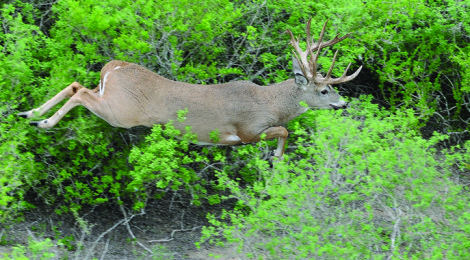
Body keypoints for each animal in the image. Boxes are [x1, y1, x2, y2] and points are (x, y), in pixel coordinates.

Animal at [17, 18, 364, 160]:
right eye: (324, 91)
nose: (343, 105)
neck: (270, 102)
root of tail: (113, 67)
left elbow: (284, 131)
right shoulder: (247, 130)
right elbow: (284, 131)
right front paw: (277, 160)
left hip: (110, 97)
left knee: (76, 84)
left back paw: (29, 112)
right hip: (122, 112)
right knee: (81, 93)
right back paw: (43, 122)